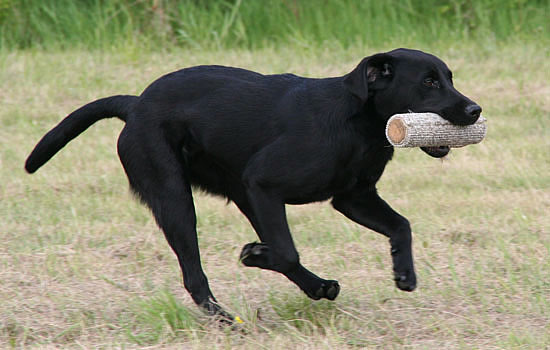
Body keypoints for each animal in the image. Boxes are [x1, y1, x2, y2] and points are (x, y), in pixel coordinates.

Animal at [25, 48, 484, 320]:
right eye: (428, 82)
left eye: (449, 77)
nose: (475, 109)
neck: (356, 122)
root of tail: (135, 105)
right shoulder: (265, 183)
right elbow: (285, 251)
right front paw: (253, 255)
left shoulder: (353, 197)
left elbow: (401, 225)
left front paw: (404, 272)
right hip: (176, 198)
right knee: (195, 271)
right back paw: (224, 315)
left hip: (240, 194)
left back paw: (318, 286)